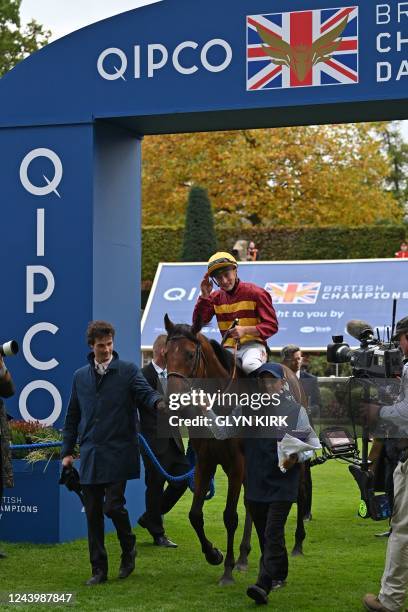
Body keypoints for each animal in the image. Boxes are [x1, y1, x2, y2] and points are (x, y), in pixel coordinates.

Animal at [163, 314, 310, 584]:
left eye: (189, 354)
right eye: (166, 354)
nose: (173, 403)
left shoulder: (237, 464)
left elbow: (230, 516)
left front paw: (227, 570)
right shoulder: (205, 461)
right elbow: (195, 514)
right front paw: (214, 554)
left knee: (301, 492)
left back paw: (296, 544)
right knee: (253, 502)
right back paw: (245, 556)